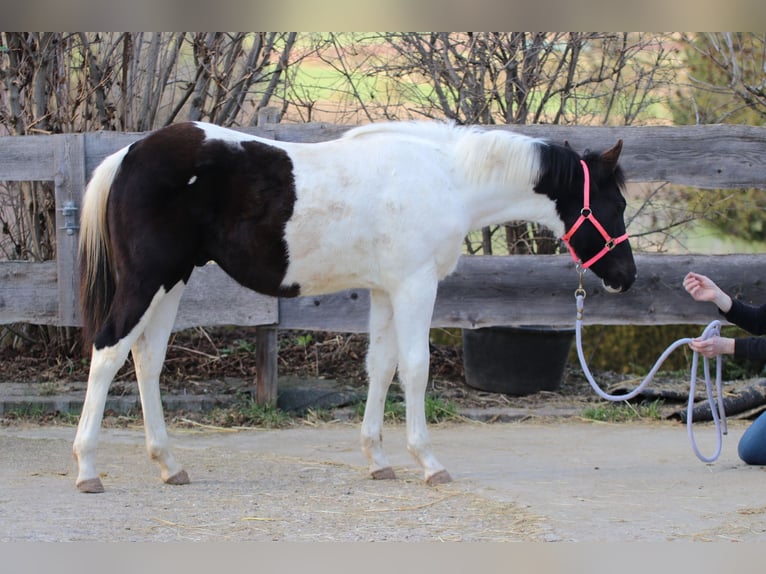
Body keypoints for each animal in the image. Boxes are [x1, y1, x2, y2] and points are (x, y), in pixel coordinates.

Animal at [73, 120, 636, 493]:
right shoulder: (415, 286)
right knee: (107, 352)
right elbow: (414, 368)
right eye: (615, 204)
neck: (447, 178)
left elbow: (380, 367)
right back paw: (87, 469)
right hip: (147, 281)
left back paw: (169, 465)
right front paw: (428, 463)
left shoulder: (387, 290)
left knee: (146, 360)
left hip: (172, 283)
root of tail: (127, 154)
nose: (626, 278)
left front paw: (378, 459)